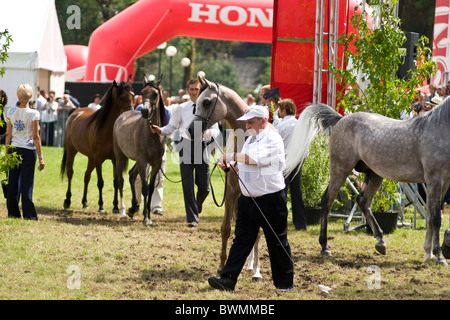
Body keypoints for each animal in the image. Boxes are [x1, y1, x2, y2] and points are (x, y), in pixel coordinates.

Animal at [60, 77, 134, 212]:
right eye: (120, 96)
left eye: (132, 95)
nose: (130, 112)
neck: (107, 129)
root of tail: (75, 111)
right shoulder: (99, 160)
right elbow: (100, 182)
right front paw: (101, 206)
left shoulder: (115, 160)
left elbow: (116, 182)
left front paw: (115, 206)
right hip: (72, 151)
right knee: (70, 173)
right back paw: (67, 200)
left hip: (91, 158)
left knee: (86, 176)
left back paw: (84, 202)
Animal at [112, 75, 169, 226]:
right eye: (142, 92)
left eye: (155, 93)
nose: (144, 111)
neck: (152, 134)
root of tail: (123, 115)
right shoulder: (143, 161)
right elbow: (144, 188)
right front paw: (145, 218)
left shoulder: (155, 163)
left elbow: (150, 187)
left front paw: (147, 216)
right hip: (120, 157)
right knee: (120, 181)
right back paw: (123, 212)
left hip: (137, 161)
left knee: (132, 175)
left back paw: (133, 208)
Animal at [284, 102, 450, 264]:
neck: (438, 127)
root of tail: (341, 119)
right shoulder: (434, 180)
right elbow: (435, 219)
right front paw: (439, 257)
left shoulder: (443, 183)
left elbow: (430, 216)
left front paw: (429, 253)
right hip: (340, 170)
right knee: (327, 201)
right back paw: (325, 247)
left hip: (374, 174)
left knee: (363, 201)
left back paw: (380, 242)